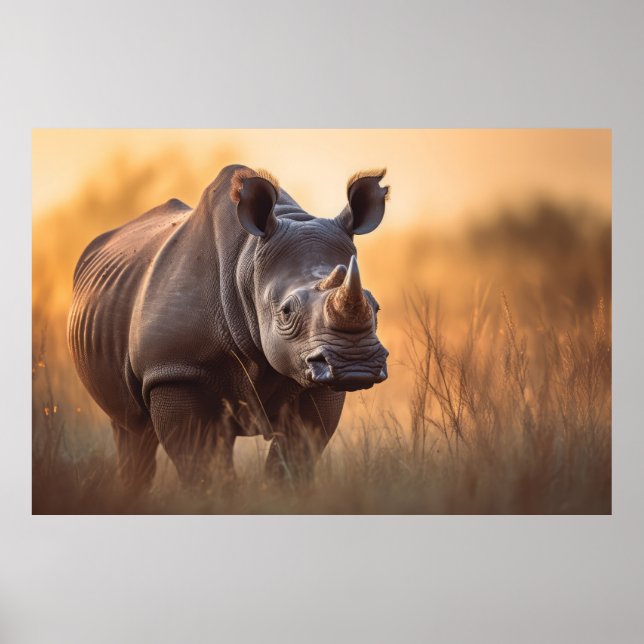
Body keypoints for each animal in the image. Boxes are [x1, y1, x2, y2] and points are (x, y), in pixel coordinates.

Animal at [67, 164, 389, 490]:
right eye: (286, 312)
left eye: (376, 307)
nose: (355, 365)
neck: (247, 263)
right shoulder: (173, 369)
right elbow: (200, 463)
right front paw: (213, 496)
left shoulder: (313, 376)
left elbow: (295, 455)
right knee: (132, 428)